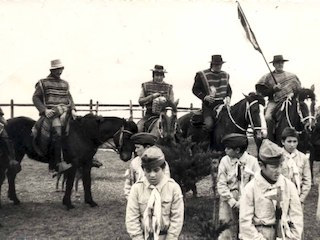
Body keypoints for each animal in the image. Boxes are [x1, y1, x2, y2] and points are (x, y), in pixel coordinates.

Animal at [4, 113, 138, 209]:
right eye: (127, 136)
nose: (126, 156)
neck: (85, 134)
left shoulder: (87, 163)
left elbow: (87, 182)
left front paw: (90, 202)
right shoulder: (73, 164)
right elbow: (69, 183)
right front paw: (68, 203)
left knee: (11, 175)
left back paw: (13, 198)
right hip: (16, 154)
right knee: (11, 174)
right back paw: (15, 199)